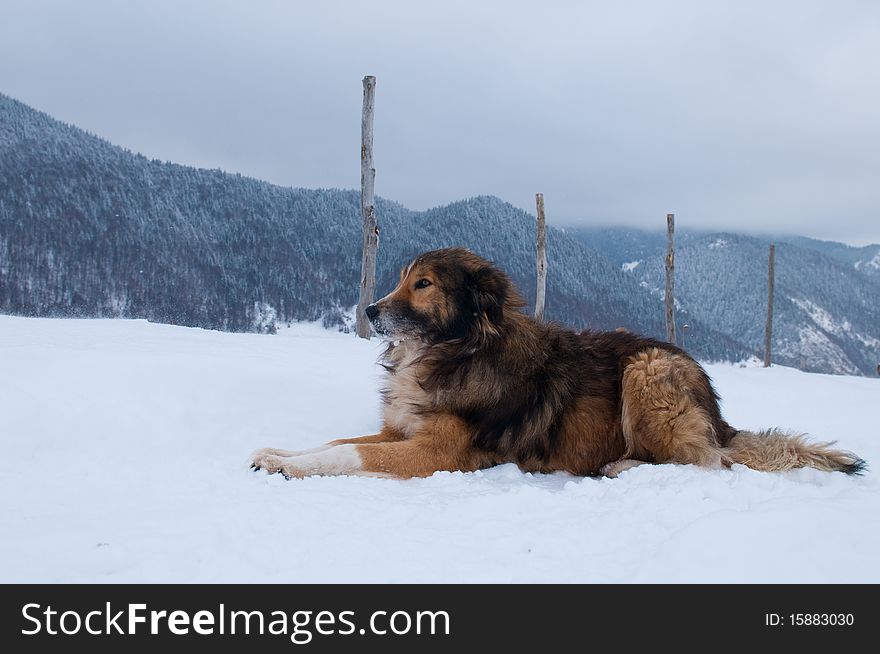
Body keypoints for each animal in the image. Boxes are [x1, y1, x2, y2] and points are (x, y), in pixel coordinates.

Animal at [249, 249, 868, 480]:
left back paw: (623, 466)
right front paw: (277, 452)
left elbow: (349, 454)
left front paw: (289, 467)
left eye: (422, 284)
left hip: (647, 369)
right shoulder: (398, 429)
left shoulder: (436, 452)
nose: (372, 310)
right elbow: (338, 441)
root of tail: (720, 413)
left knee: (707, 462)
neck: (457, 351)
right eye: (402, 277)